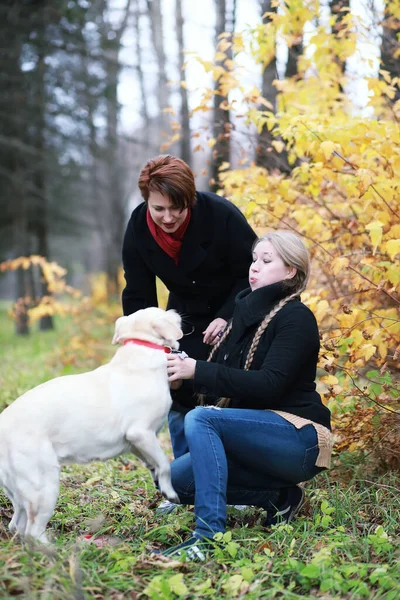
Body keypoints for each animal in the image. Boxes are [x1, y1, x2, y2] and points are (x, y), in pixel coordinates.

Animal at [0, 308, 182, 540]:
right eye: (163, 312)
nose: (178, 313)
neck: (141, 347)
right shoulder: (140, 432)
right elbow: (165, 464)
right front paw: (170, 491)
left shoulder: (135, 443)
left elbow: (154, 464)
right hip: (44, 486)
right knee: (33, 531)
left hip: (19, 493)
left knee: (16, 525)